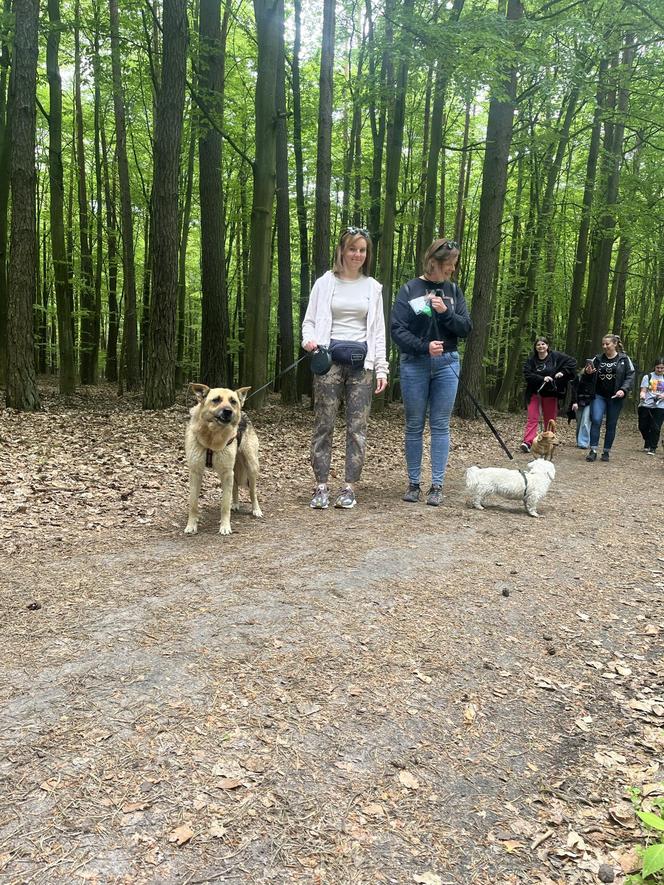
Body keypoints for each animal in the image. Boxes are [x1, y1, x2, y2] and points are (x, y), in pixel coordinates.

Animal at [185, 384, 264, 536]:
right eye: (216, 400)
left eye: (233, 401)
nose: (228, 411)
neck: (212, 438)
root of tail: (244, 414)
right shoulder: (196, 473)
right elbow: (193, 504)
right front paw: (191, 525)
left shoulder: (226, 473)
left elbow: (225, 504)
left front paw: (225, 526)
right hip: (233, 469)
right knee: (235, 486)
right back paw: (236, 503)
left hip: (251, 467)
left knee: (253, 492)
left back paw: (256, 509)